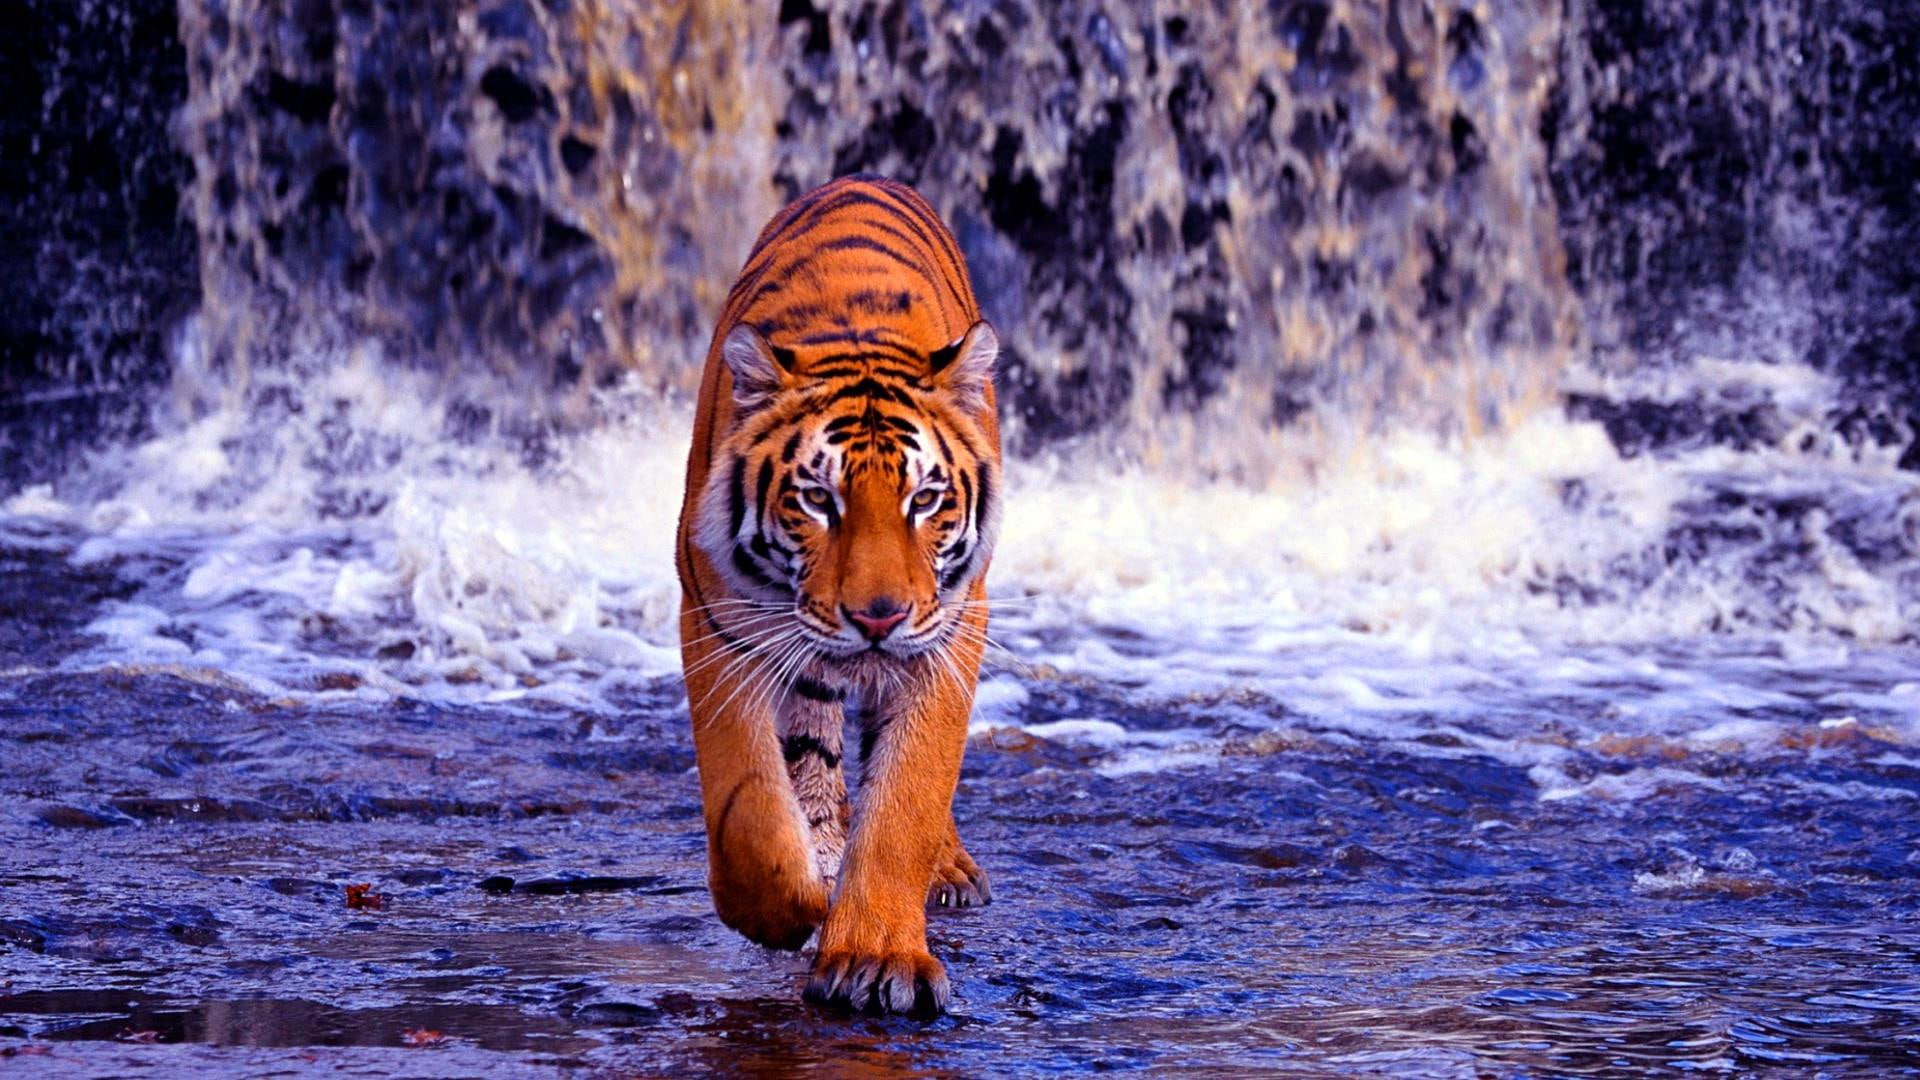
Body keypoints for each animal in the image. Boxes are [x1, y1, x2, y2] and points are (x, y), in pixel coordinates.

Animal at [674, 174, 1003, 1016]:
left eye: (925, 499)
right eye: (818, 500)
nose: (877, 617)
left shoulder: (949, 632)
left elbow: (908, 798)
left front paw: (876, 956)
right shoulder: (720, 620)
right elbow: (749, 804)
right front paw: (787, 907)